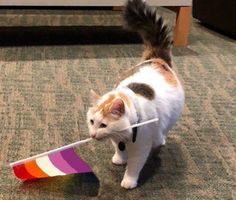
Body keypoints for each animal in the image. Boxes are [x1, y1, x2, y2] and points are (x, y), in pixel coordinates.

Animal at [86, 0, 184, 189]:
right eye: (92, 121)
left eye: (103, 125)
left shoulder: (141, 148)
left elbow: (134, 166)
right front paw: (119, 158)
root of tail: (157, 59)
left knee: (164, 131)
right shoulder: (116, 140)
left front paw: (128, 181)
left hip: (170, 118)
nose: (92, 135)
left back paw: (162, 140)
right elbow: (119, 150)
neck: (126, 134)